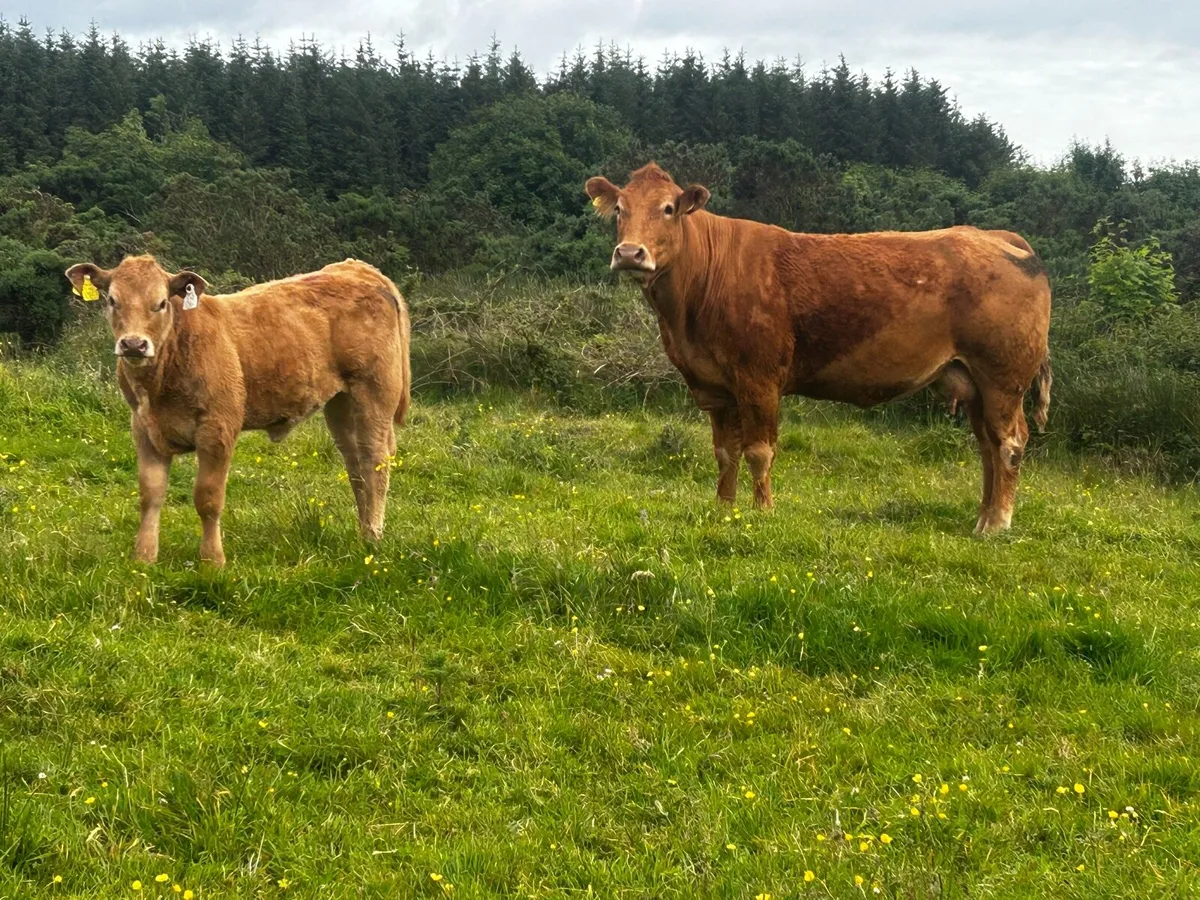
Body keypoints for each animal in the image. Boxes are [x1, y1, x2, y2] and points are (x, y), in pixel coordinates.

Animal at [64, 255, 411, 566]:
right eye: (112, 300)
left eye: (161, 303)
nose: (134, 345)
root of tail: (358, 269)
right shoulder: (144, 429)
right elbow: (150, 494)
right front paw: (144, 558)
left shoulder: (218, 428)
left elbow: (208, 497)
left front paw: (212, 561)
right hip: (340, 402)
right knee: (356, 465)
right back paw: (362, 531)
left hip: (374, 391)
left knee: (375, 461)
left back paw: (373, 536)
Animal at [585, 163, 1052, 534]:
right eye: (619, 210)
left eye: (668, 208)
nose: (630, 253)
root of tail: (996, 237)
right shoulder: (714, 386)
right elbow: (724, 453)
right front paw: (724, 509)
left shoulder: (759, 379)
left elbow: (759, 452)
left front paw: (762, 512)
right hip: (973, 381)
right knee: (987, 446)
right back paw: (982, 517)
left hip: (1003, 377)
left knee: (1009, 443)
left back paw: (997, 524)